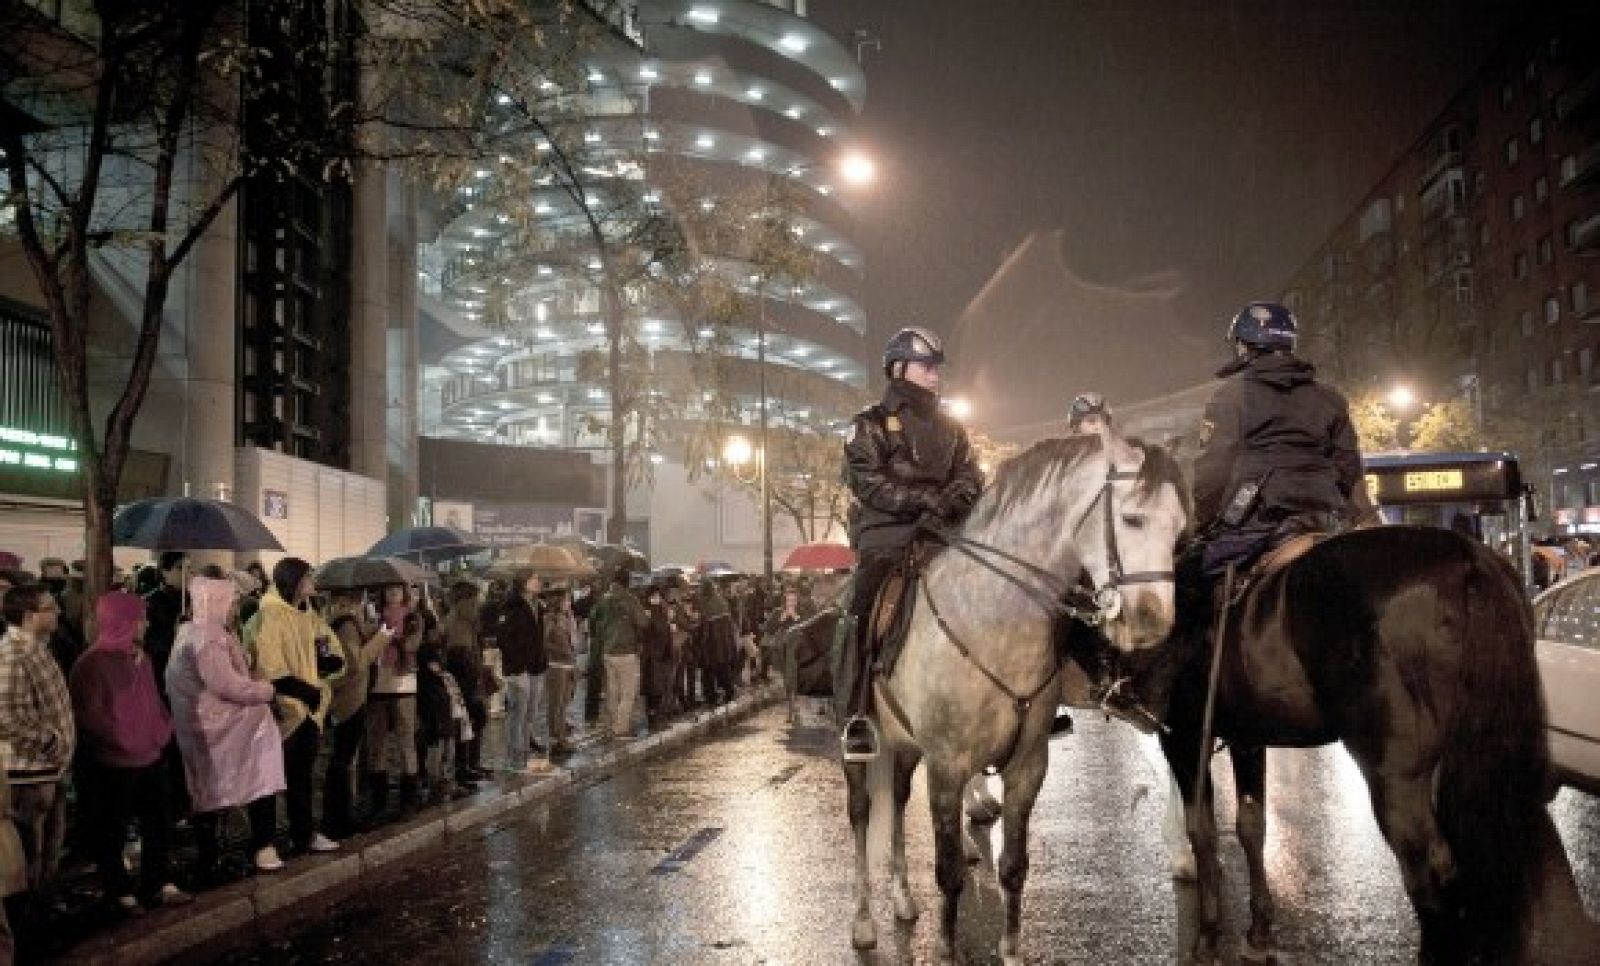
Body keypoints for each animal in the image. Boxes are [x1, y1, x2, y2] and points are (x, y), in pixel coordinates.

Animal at [844, 435, 1196, 959]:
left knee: (899, 801)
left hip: (904, 743)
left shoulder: (1028, 765)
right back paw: (865, 920)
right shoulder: (945, 764)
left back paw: (904, 899)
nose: (1152, 622)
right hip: (863, 743)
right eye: (1132, 518)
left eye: (1179, 529)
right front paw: (947, 950)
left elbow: (1014, 865)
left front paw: (1011, 950)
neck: (990, 619)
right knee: (863, 813)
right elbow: (948, 872)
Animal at [1145, 527, 1580, 965]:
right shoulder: (1245, 738)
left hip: (1395, 777)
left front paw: (1207, 937)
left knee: (1430, 871)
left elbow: (1202, 830)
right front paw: (1258, 932)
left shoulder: (1181, 734)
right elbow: (1251, 826)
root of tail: (1472, 561)